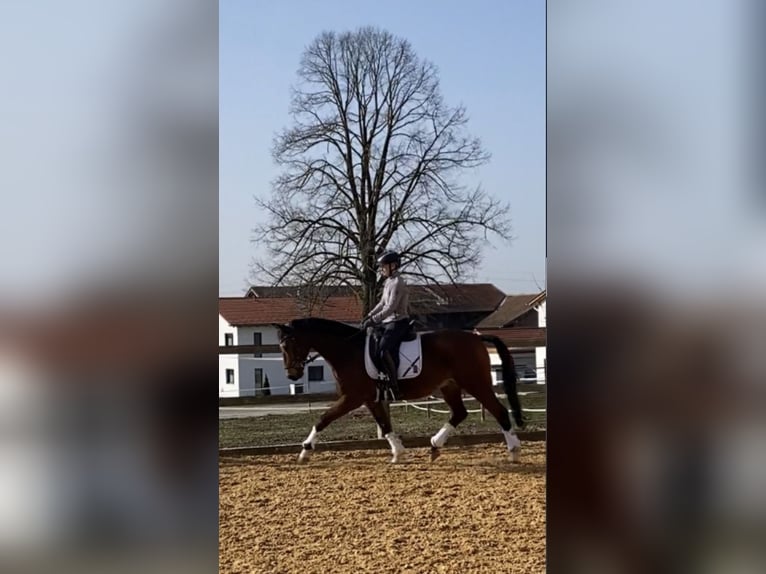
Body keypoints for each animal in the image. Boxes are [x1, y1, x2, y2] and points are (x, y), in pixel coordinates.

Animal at [272, 318, 525, 463]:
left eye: (289, 344)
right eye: (281, 346)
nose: (292, 375)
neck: (348, 350)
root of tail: (477, 338)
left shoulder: (352, 397)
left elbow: (323, 419)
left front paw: (305, 451)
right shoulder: (370, 399)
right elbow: (385, 425)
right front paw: (398, 453)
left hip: (476, 383)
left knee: (499, 411)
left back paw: (514, 450)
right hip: (449, 386)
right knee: (459, 413)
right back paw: (434, 445)